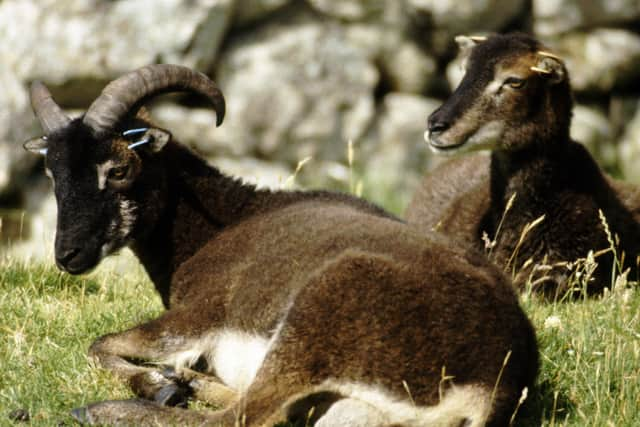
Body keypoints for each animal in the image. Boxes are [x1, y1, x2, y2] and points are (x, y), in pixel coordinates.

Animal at [25, 64, 536, 427]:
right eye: (52, 172)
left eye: (118, 168)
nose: (68, 255)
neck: (229, 218)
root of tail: (492, 383)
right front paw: (173, 379)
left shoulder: (198, 313)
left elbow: (99, 344)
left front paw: (157, 384)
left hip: (314, 321)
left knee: (240, 418)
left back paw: (105, 408)